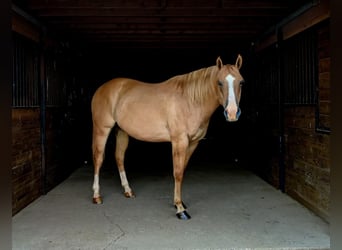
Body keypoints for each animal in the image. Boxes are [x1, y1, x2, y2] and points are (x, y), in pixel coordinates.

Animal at [91, 54, 243, 219]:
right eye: (219, 82)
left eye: (241, 82)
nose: (232, 113)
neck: (190, 101)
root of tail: (102, 88)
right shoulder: (179, 141)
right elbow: (177, 173)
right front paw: (180, 209)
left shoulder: (193, 143)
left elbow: (182, 170)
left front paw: (180, 203)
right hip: (102, 129)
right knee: (98, 159)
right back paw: (96, 196)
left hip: (122, 131)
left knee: (119, 157)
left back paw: (128, 190)